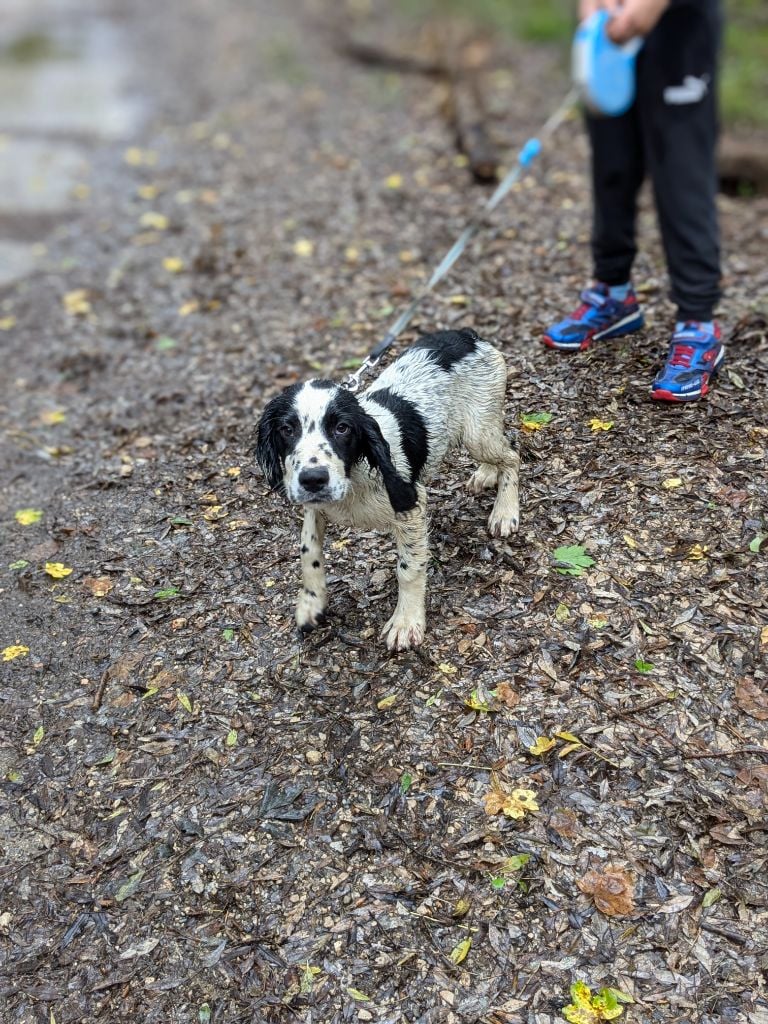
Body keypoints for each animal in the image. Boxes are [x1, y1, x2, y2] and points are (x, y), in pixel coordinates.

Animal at [256, 329, 520, 647]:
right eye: (287, 429)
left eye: (342, 428)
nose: (313, 479)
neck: (353, 476)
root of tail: (467, 335)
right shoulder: (316, 505)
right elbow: (308, 549)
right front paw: (311, 603)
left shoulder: (411, 504)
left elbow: (408, 568)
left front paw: (406, 622)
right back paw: (485, 475)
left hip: (477, 431)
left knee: (512, 456)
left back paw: (505, 512)